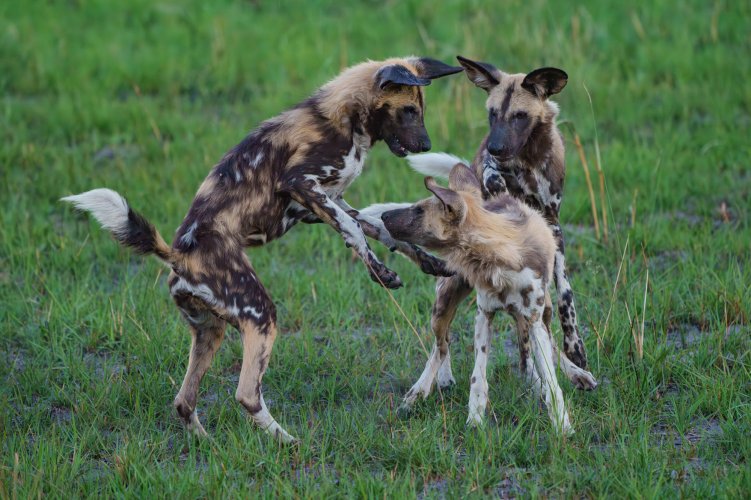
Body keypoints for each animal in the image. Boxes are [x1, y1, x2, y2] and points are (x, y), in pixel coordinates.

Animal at [63, 56, 464, 444]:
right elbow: (356, 231)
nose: (427, 145)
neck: (346, 119)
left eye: (420, 110)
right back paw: (288, 442)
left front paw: (428, 262)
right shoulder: (303, 185)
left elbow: (380, 228)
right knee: (246, 395)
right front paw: (381, 272)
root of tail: (179, 257)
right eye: (409, 111)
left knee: (183, 401)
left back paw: (209, 445)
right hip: (260, 313)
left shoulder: (324, 204)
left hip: (210, 332)